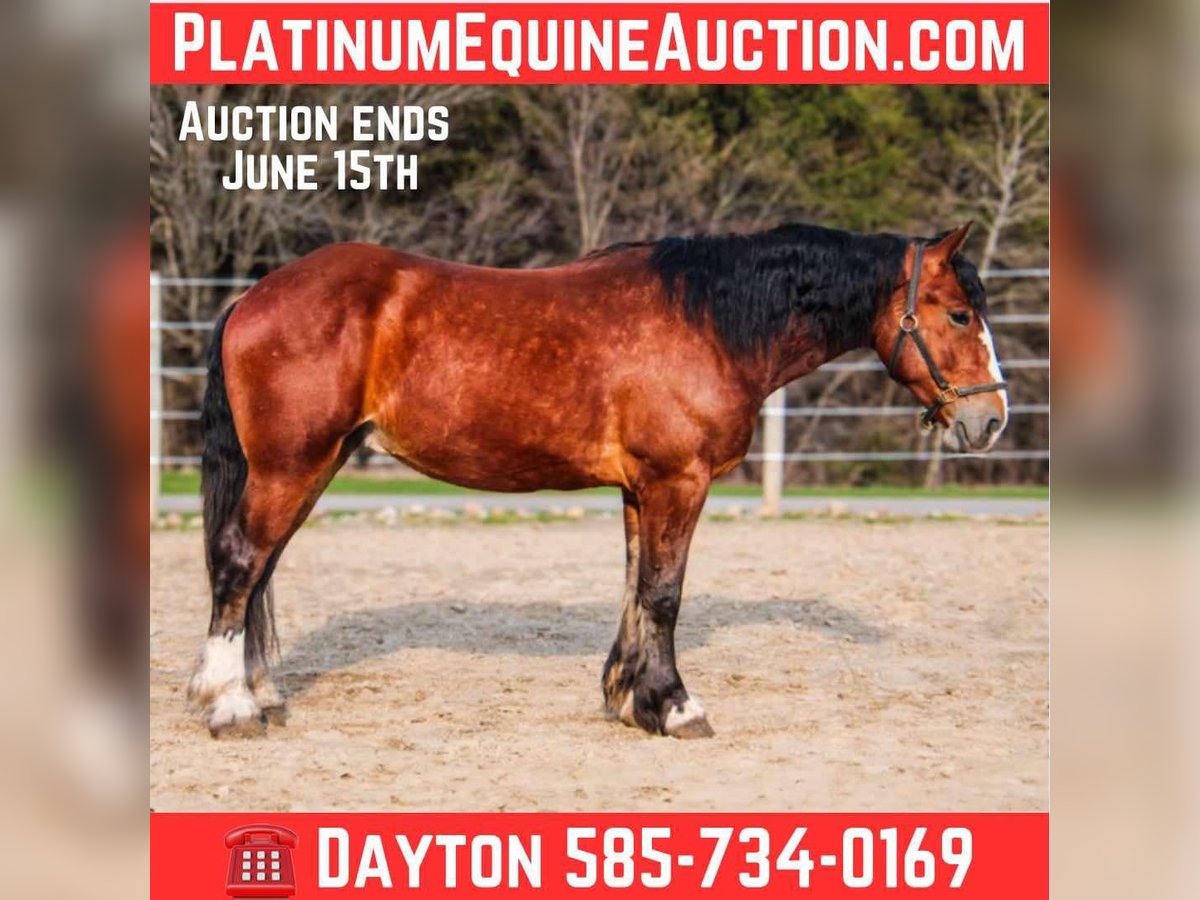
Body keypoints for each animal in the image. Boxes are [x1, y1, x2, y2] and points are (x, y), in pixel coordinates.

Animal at [187, 221, 1008, 739]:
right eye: (958, 315)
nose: (992, 419)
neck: (710, 321)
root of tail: (255, 295)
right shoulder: (679, 481)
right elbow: (666, 595)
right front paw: (675, 708)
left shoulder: (642, 488)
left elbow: (636, 590)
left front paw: (627, 699)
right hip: (292, 465)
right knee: (239, 563)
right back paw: (230, 708)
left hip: (311, 465)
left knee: (259, 571)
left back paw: (261, 695)